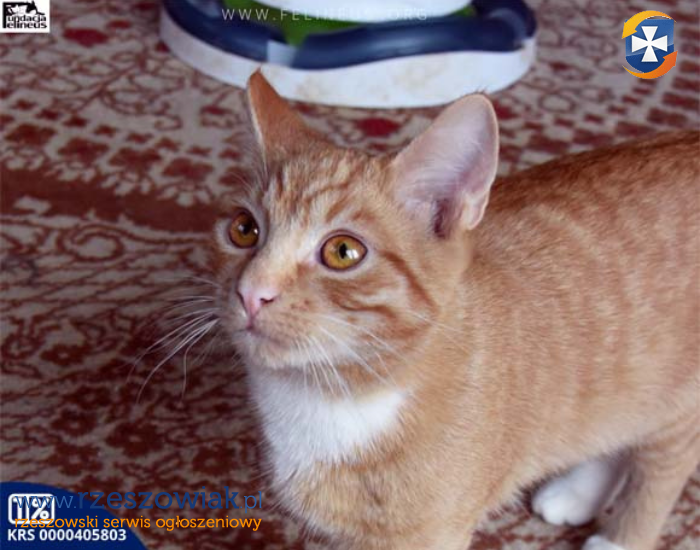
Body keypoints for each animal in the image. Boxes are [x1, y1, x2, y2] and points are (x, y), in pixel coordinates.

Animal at [209, 72, 699, 550]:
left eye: (343, 252)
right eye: (244, 229)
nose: (251, 292)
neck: (332, 399)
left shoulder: (431, 535)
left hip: (679, 401)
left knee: (661, 463)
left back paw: (617, 538)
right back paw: (579, 492)